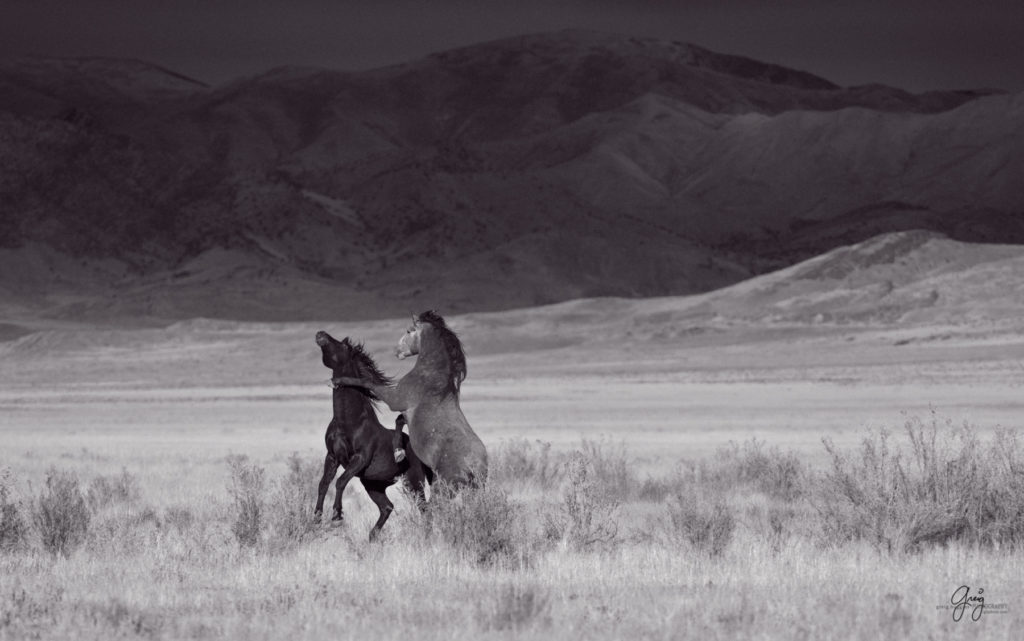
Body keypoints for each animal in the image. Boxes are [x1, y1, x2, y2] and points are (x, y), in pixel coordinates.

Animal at [311, 329, 423, 540]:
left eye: (343, 345)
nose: (321, 333)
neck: (349, 422)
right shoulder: (332, 457)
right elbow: (323, 484)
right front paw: (316, 517)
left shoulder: (360, 458)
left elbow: (340, 482)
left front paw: (336, 516)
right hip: (373, 484)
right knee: (387, 507)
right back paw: (372, 537)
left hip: (414, 480)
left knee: (425, 506)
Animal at [329, 309, 485, 483]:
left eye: (409, 331)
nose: (396, 351)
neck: (431, 377)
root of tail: (475, 467)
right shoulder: (403, 410)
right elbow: (399, 420)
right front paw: (398, 452)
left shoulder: (395, 400)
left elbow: (368, 382)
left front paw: (338, 381)